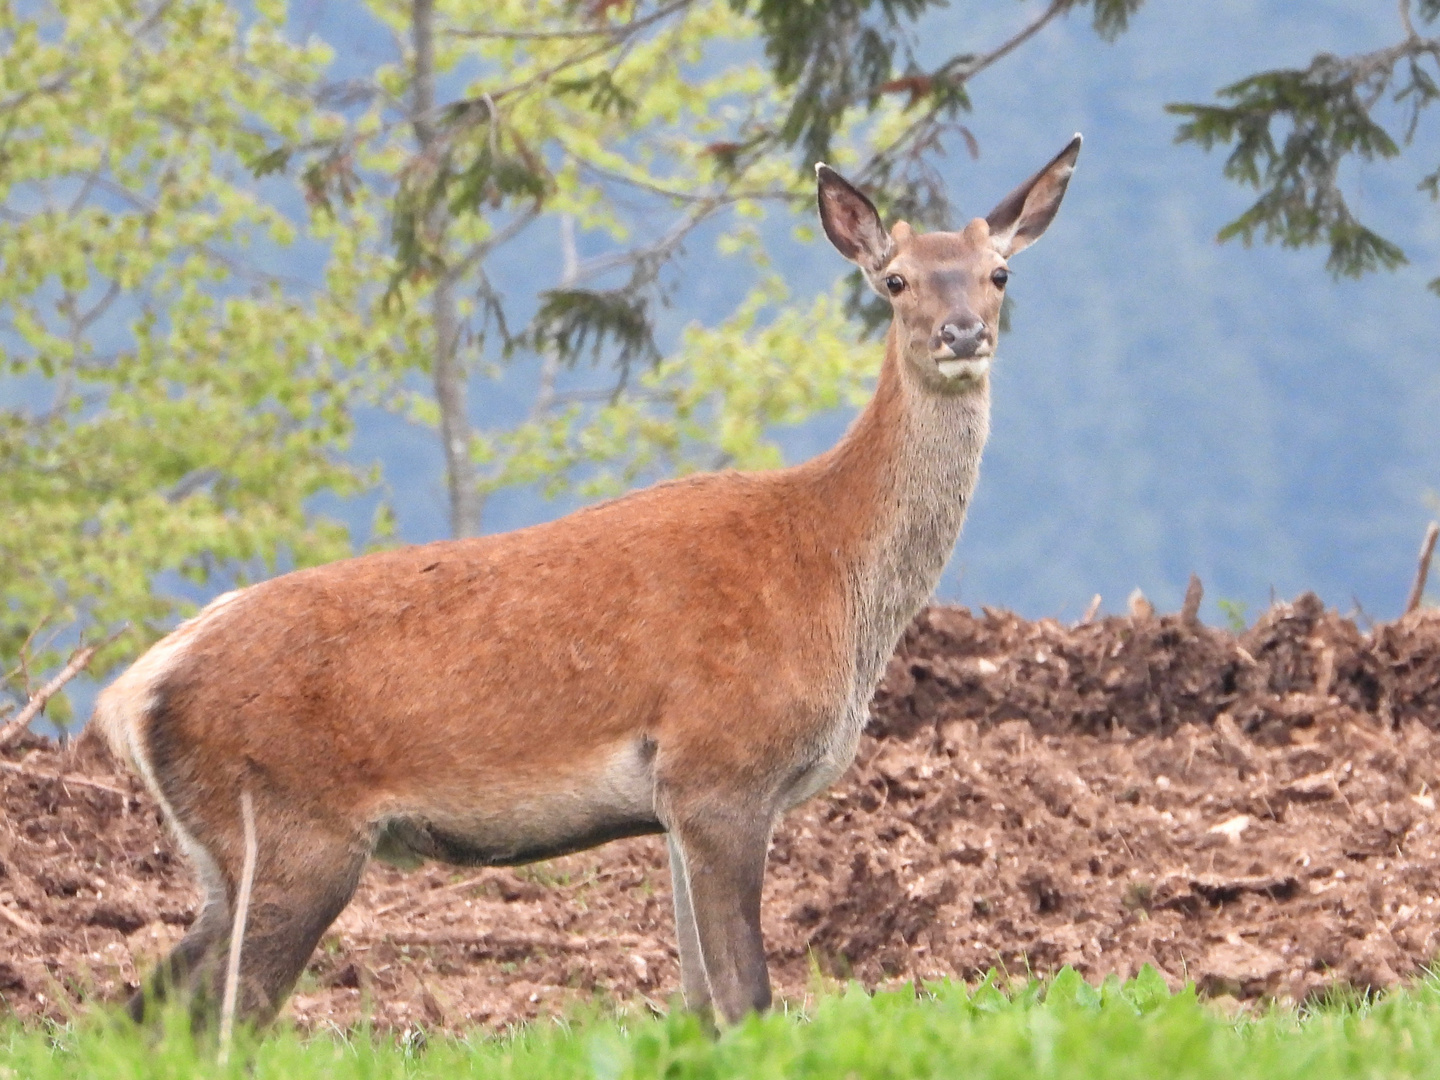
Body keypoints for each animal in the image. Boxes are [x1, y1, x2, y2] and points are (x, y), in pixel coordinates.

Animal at [90, 133, 1082, 1031]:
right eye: (896, 280)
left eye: (998, 274)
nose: (963, 333)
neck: (838, 584)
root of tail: (134, 691)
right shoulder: (721, 767)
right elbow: (749, 999)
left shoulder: (679, 802)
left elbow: (700, 1004)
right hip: (294, 831)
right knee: (225, 1017)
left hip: (227, 855)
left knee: (141, 1010)